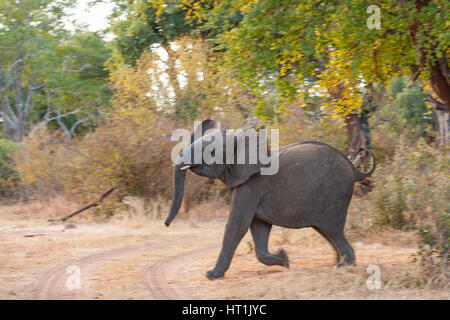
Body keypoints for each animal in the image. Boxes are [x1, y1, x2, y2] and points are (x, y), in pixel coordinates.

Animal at [165, 119, 376, 278]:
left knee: (333, 230)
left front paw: (210, 275)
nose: (166, 225)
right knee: (327, 231)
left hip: (335, 195)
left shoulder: (250, 186)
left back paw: (343, 267)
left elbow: (236, 226)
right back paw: (337, 263)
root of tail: (355, 169)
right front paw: (285, 259)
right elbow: (259, 228)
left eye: (211, 153)